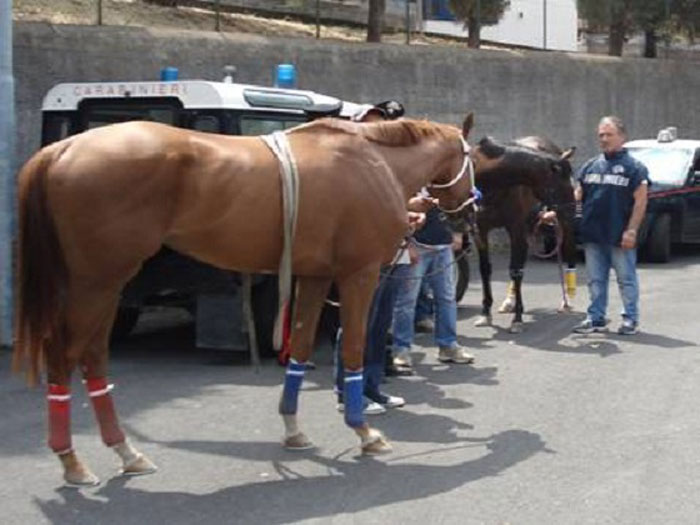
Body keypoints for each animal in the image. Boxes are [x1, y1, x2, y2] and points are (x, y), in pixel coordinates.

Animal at [13, 116, 476, 486]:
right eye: (471, 160)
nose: (469, 212)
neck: (375, 163)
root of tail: (64, 147)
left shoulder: (314, 276)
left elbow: (299, 348)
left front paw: (293, 428)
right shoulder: (359, 275)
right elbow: (355, 349)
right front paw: (363, 431)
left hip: (105, 287)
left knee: (92, 359)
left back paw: (126, 453)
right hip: (96, 284)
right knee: (64, 357)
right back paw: (73, 462)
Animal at [468, 135, 576, 332]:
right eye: (563, 185)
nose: (572, 211)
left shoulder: (516, 230)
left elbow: (516, 271)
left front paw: (517, 319)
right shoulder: (480, 230)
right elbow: (485, 270)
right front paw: (485, 313)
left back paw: (567, 301)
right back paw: (509, 302)